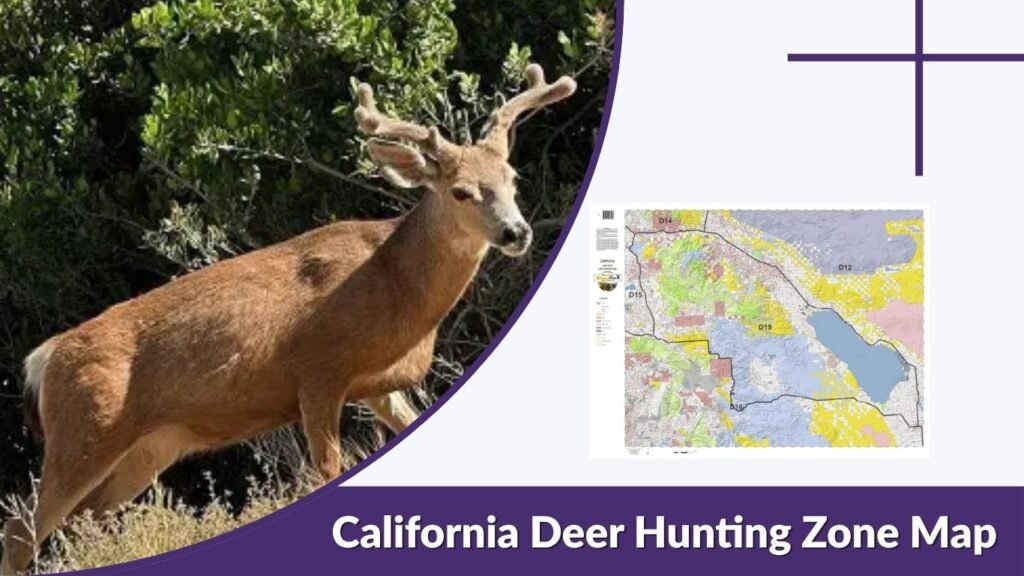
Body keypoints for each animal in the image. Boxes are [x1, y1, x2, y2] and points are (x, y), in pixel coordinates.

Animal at [0, 62, 575, 575]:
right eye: (460, 191)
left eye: (511, 177)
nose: (516, 232)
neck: (393, 288)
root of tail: (42, 358)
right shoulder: (318, 372)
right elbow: (326, 472)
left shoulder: (377, 384)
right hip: (85, 430)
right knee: (22, 529)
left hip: (148, 448)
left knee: (81, 523)